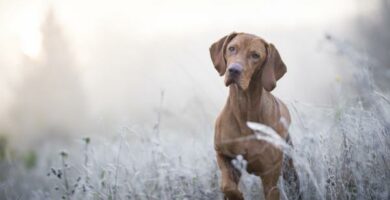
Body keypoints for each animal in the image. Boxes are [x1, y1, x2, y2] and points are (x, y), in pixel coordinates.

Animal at [210, 32, 298, 199]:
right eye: (232, 48)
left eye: (255, 55)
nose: (233, 70)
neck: (245, 109)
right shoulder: (223, 154)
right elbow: (227, 186)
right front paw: (237, 195)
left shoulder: (270, 176)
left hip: (289, 167)